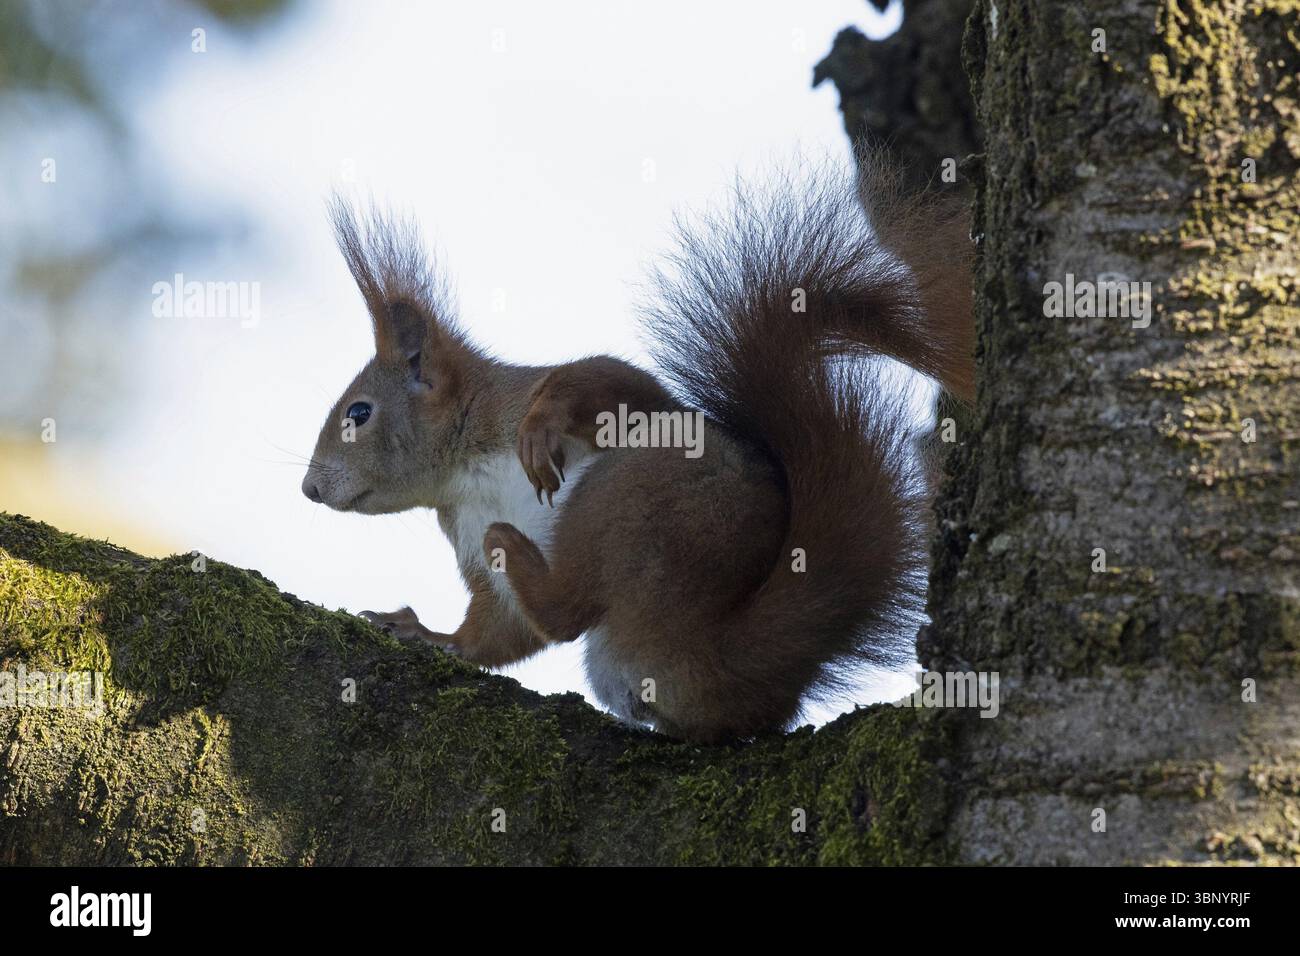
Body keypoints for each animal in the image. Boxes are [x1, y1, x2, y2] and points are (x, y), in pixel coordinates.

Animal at [302, 149, 974, 743]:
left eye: (359, 413)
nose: (308, 488)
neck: (466, 472)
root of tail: (726, 653)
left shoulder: (585, 399)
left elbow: (598, 382)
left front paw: (539, 429)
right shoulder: (463, 530)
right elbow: (496, 632)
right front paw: (428, 636)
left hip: (633, 494)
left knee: (571, 605)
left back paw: (513, 545)